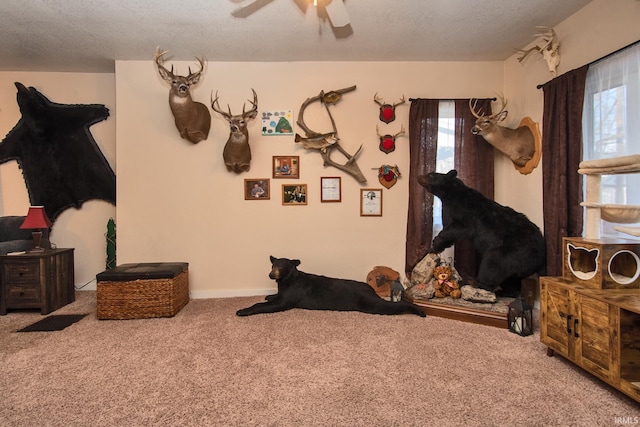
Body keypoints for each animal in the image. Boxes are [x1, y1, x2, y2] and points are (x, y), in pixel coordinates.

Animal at [235, 256, 424, 316]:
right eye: (272, 266)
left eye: (281, 267)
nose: (270, 275)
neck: (286, 281)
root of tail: (369, 288)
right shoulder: (282, 293)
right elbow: (273, 296)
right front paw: (269, 294)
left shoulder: (285, 300)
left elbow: (263, 305)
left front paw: (243, 310)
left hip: (372, 304)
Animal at [418, 169, 548, 296]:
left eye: (431, 175)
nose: (419, 176)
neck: (450, 195)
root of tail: (542, 256)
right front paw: (435, 248)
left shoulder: (464, 211)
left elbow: (459, 228)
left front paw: (435, 242)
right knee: (512, 279)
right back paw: (505, 291)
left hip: (516, 251)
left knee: (494, 261)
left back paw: (475, 281)